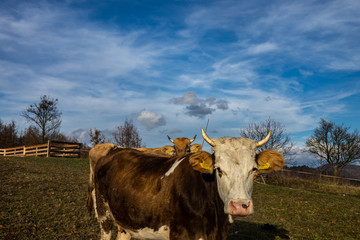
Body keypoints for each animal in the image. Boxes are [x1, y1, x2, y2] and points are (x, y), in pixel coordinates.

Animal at [91, 128, 286, 239]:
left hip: (127, 221)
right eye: (218, 169)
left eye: (254, 169)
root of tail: (115, 150)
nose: (240, 206)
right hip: (104, 215)